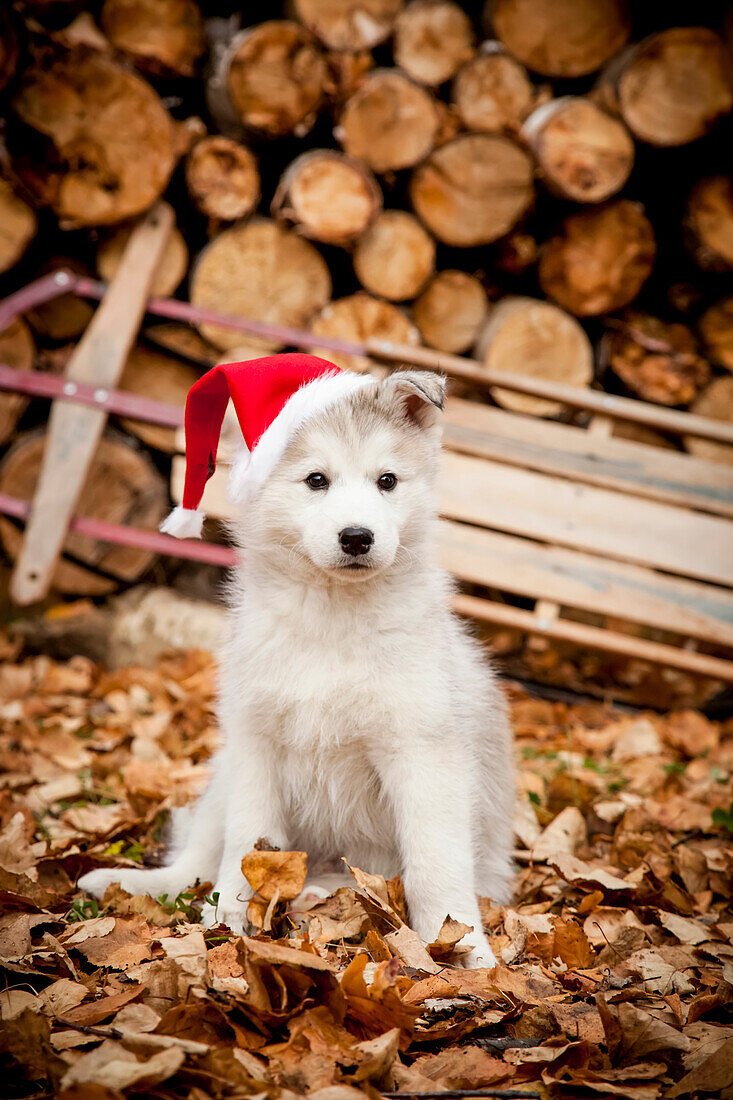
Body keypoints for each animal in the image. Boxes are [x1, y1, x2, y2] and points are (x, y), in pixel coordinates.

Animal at [79, 371, 510, 972]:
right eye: (316, 480)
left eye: (387, 481)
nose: (357, 537)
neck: (332, 615)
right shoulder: (256, 742)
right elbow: (245, 850)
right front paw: (229, 927)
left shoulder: (423, 752)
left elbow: (436, 866)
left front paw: (467, 954)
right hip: (225, 773)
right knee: (195, 863)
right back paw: (129, 886)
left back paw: (319, 894)